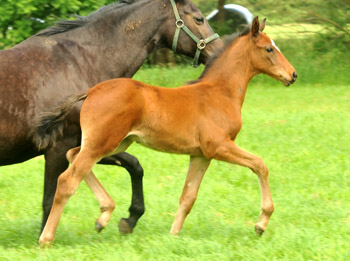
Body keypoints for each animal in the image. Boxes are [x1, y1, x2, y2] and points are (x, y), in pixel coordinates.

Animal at [39, 17, 298, 245]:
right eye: (269, 49)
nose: (293, 74)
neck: (219, 93)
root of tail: (92, 91)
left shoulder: (201, 155)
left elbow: (188, 196)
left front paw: (173, 235)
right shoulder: (219, 146)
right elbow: (260, 164)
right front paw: (261, 224)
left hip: (113, 142)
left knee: (72, 155)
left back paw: (104, 215)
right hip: (102, 143)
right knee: (67, 180)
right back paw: (46, 238)